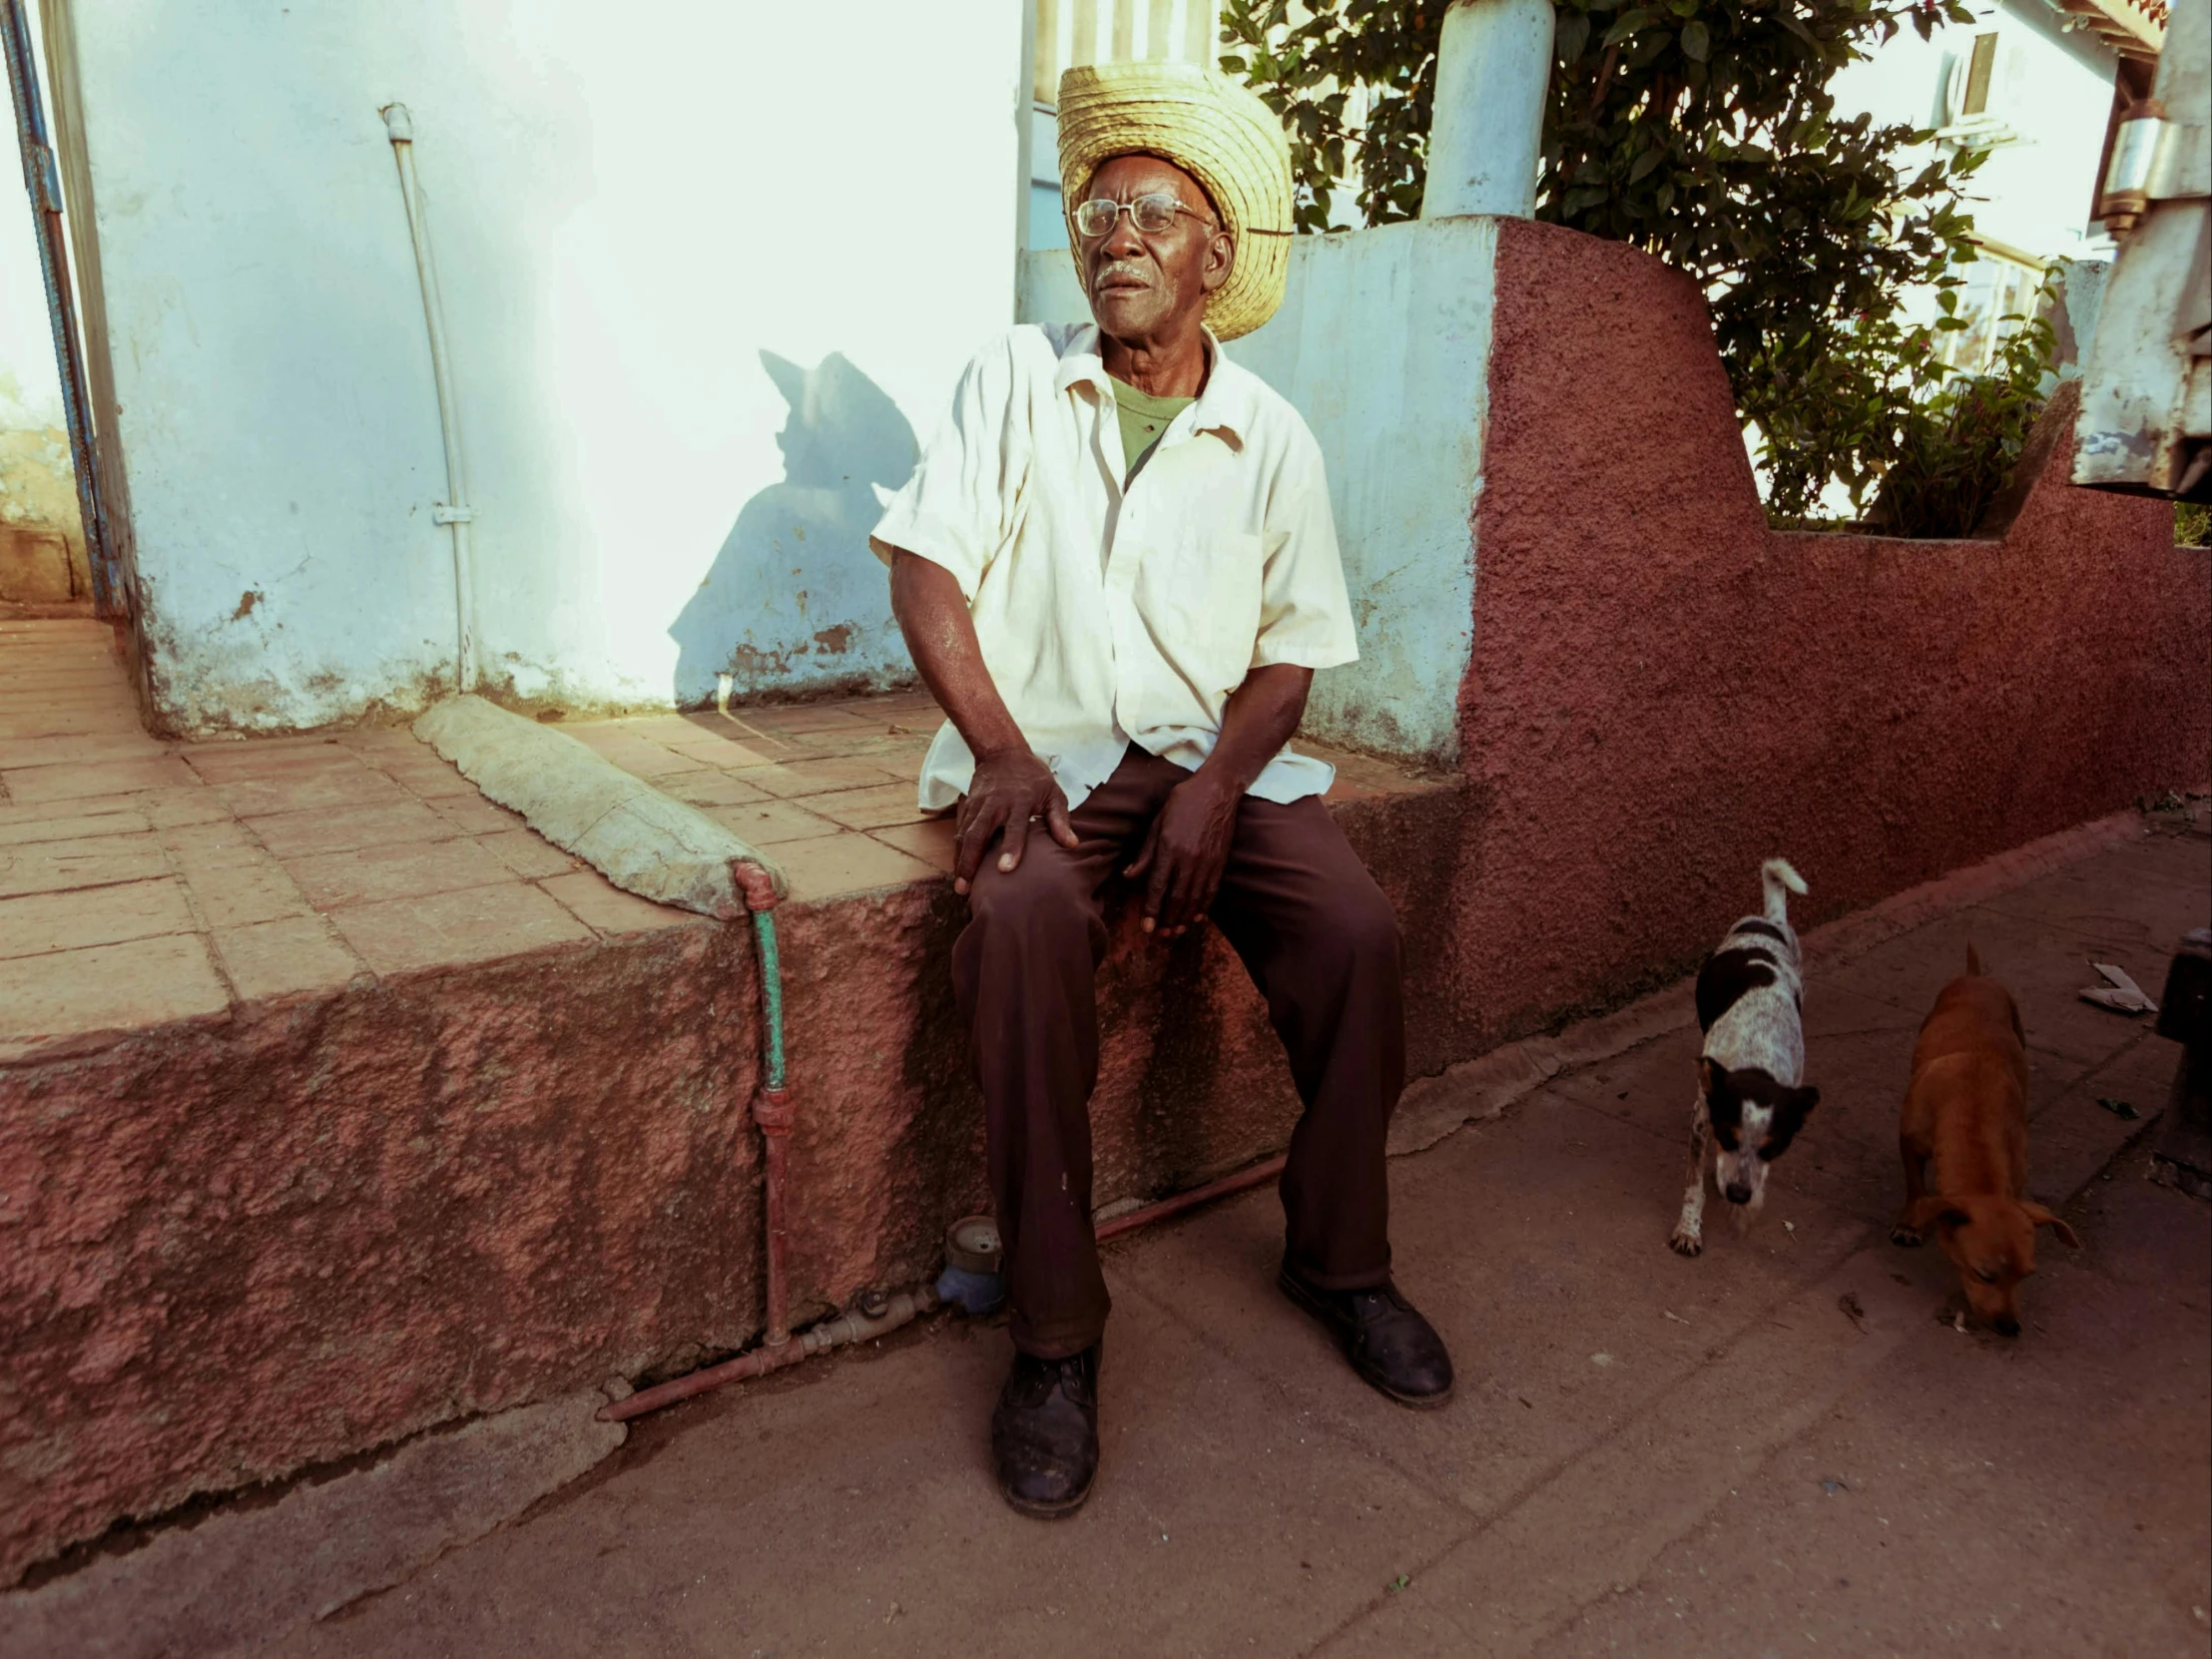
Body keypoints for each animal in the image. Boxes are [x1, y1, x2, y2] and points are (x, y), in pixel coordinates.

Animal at [1663, 857, 1822, 1256]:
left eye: (1773, 1148)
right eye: (1728, 1135)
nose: (1737, 1194)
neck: (1757, 1053)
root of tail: (1769, 921)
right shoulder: (1702, 1117)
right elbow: (1693, 1184)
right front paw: (1689, 1228)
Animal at [1893, 946, 2079, 1336]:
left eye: (2027, 1275)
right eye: (1983, 1274)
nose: (2010, 1328)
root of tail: (1976, 977)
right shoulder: (1909, 1140)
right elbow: (1916, 1186)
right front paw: (1910, 1223)